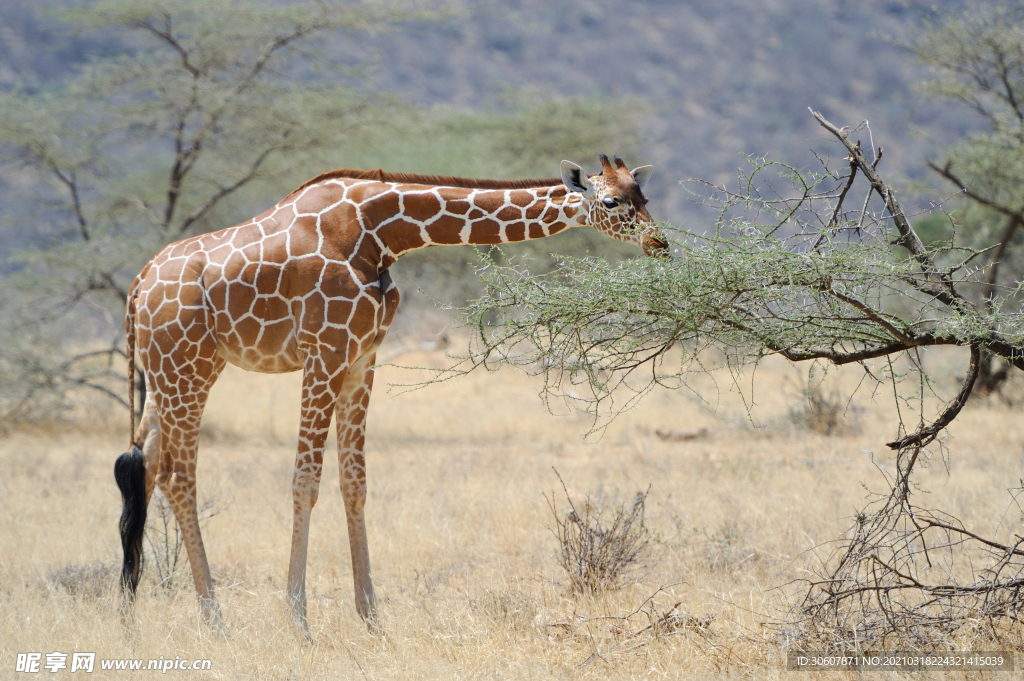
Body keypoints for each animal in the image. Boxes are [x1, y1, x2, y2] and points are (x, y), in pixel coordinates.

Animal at [116, 152, 667, 630]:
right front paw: (299, 622)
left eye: (644, 195)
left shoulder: (363, 356)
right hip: (185, 366)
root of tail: (138, 286)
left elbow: (355, 482)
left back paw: (128, 620)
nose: (659, 243)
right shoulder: (324, 351)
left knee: (143, 466)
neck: (380, 233)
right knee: (177, 476)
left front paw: (371, 618)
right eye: (611, 202)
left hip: (177, 371)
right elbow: (305, 481)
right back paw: (215, 623)